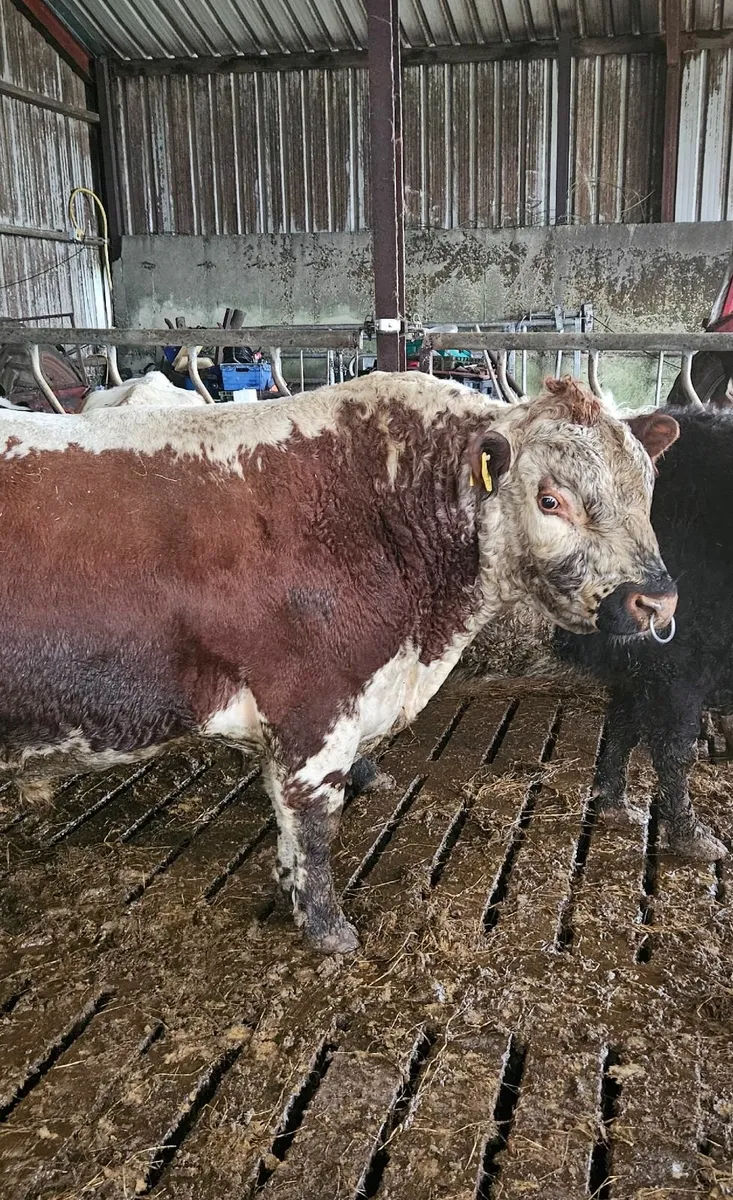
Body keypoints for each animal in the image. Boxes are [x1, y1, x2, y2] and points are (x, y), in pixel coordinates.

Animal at [0, 372, 678, 952]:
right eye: (550, 499)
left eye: (648, 490)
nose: (656, 601)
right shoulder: (313, 708)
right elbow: (312, 824)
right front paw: (327, 928)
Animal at [555, 404, 733, 862]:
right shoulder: (679, 666)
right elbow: (674, 750)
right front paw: (691, 834)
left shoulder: (639, 667)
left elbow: (622, 726)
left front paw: (613, 802)